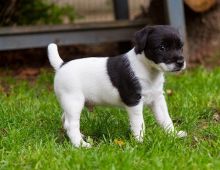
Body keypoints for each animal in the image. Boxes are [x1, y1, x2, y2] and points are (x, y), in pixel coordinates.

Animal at [47, 25, 186, 147]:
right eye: (162, 48)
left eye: (180, 47)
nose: (180, 62)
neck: (147, 69)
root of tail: (61, 65)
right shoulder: (134, 101)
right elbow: (138, 123)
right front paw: (140, 141)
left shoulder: (157, 99)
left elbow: (165, 119)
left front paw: (173, 134)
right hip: (74, 102)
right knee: (71, 124)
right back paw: (80, 144)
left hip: (70, 104)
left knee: (65, 120)